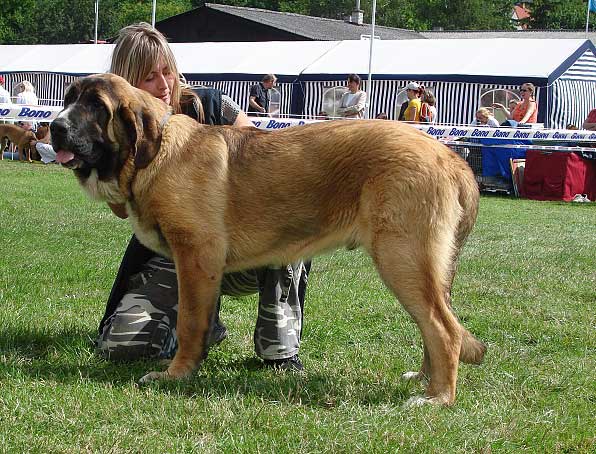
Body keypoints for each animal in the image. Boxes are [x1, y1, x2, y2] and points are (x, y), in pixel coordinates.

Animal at [51, 72, 486, 406]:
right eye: (70, 99)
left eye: (97, 107)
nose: (54, 127)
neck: (156, 155)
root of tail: (451, 158)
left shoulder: (196, 257)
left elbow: (190, 321)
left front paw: (176, 375)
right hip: (421, 267)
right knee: (435, 324)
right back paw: (425, 381)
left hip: (403, 259)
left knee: (443, 329)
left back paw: (437, 397)